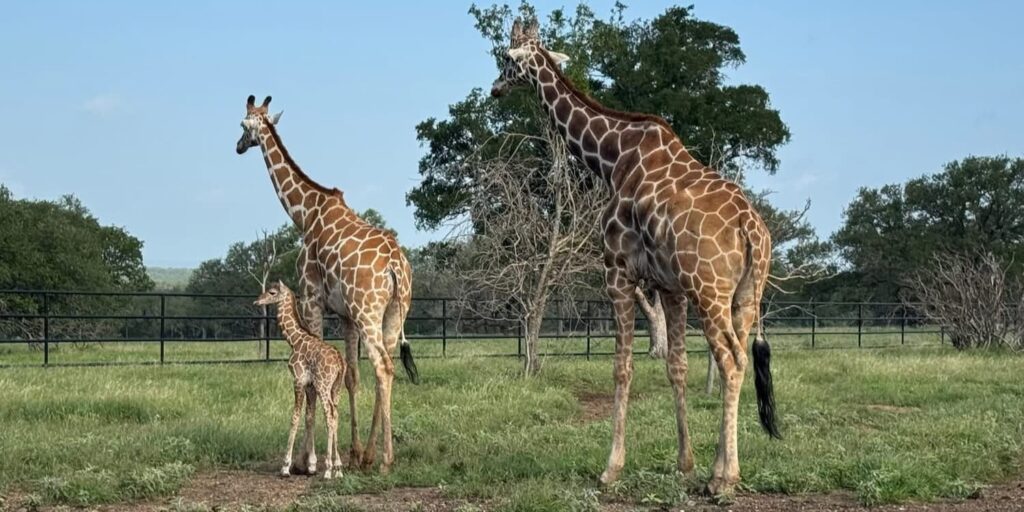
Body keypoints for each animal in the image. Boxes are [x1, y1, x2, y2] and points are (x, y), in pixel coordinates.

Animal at [255, 281, 346, 480]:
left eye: (272, 292)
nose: (257, 301)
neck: (294, 339)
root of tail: (340, 361)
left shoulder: (298, 380)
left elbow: (295, 417)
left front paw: (285, 467)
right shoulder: (310, 385)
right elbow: (309, 417)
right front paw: (311, 466)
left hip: (324, 385)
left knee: (329, 416)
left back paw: (328, 470)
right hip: (335, 388)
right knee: (336, 415)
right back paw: (338, 468)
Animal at [489, 20, 780, 495]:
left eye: (506, 59)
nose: (495, 88)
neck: (613, 159)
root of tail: (751, 229)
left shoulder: (617, 272)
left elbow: (622, 368)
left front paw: (612, 468)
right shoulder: (670, 287)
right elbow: (677, 366)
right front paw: (686, 464)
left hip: (710, 291)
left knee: (732, 361)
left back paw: (726, 479)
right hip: (745, 296)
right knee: (734, 358)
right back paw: (719, 469)